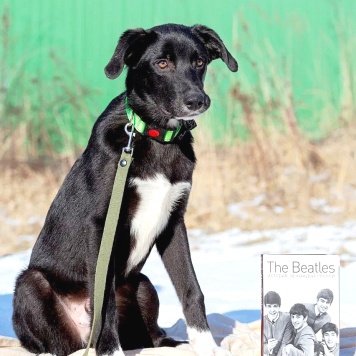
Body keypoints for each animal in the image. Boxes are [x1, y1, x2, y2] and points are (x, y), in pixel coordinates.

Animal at [12, 23, 238, 354]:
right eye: (162, 64)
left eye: (199, 62)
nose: (197, 101)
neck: (156, 136)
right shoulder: (101, 225)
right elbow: (104, 297)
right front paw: (111, 350)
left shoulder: (173, 222)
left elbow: (191, 288)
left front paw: (206, 345)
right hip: (31, 286)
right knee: (62, 341)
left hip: (142, 284)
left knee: (149, 335)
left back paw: (168, 342)